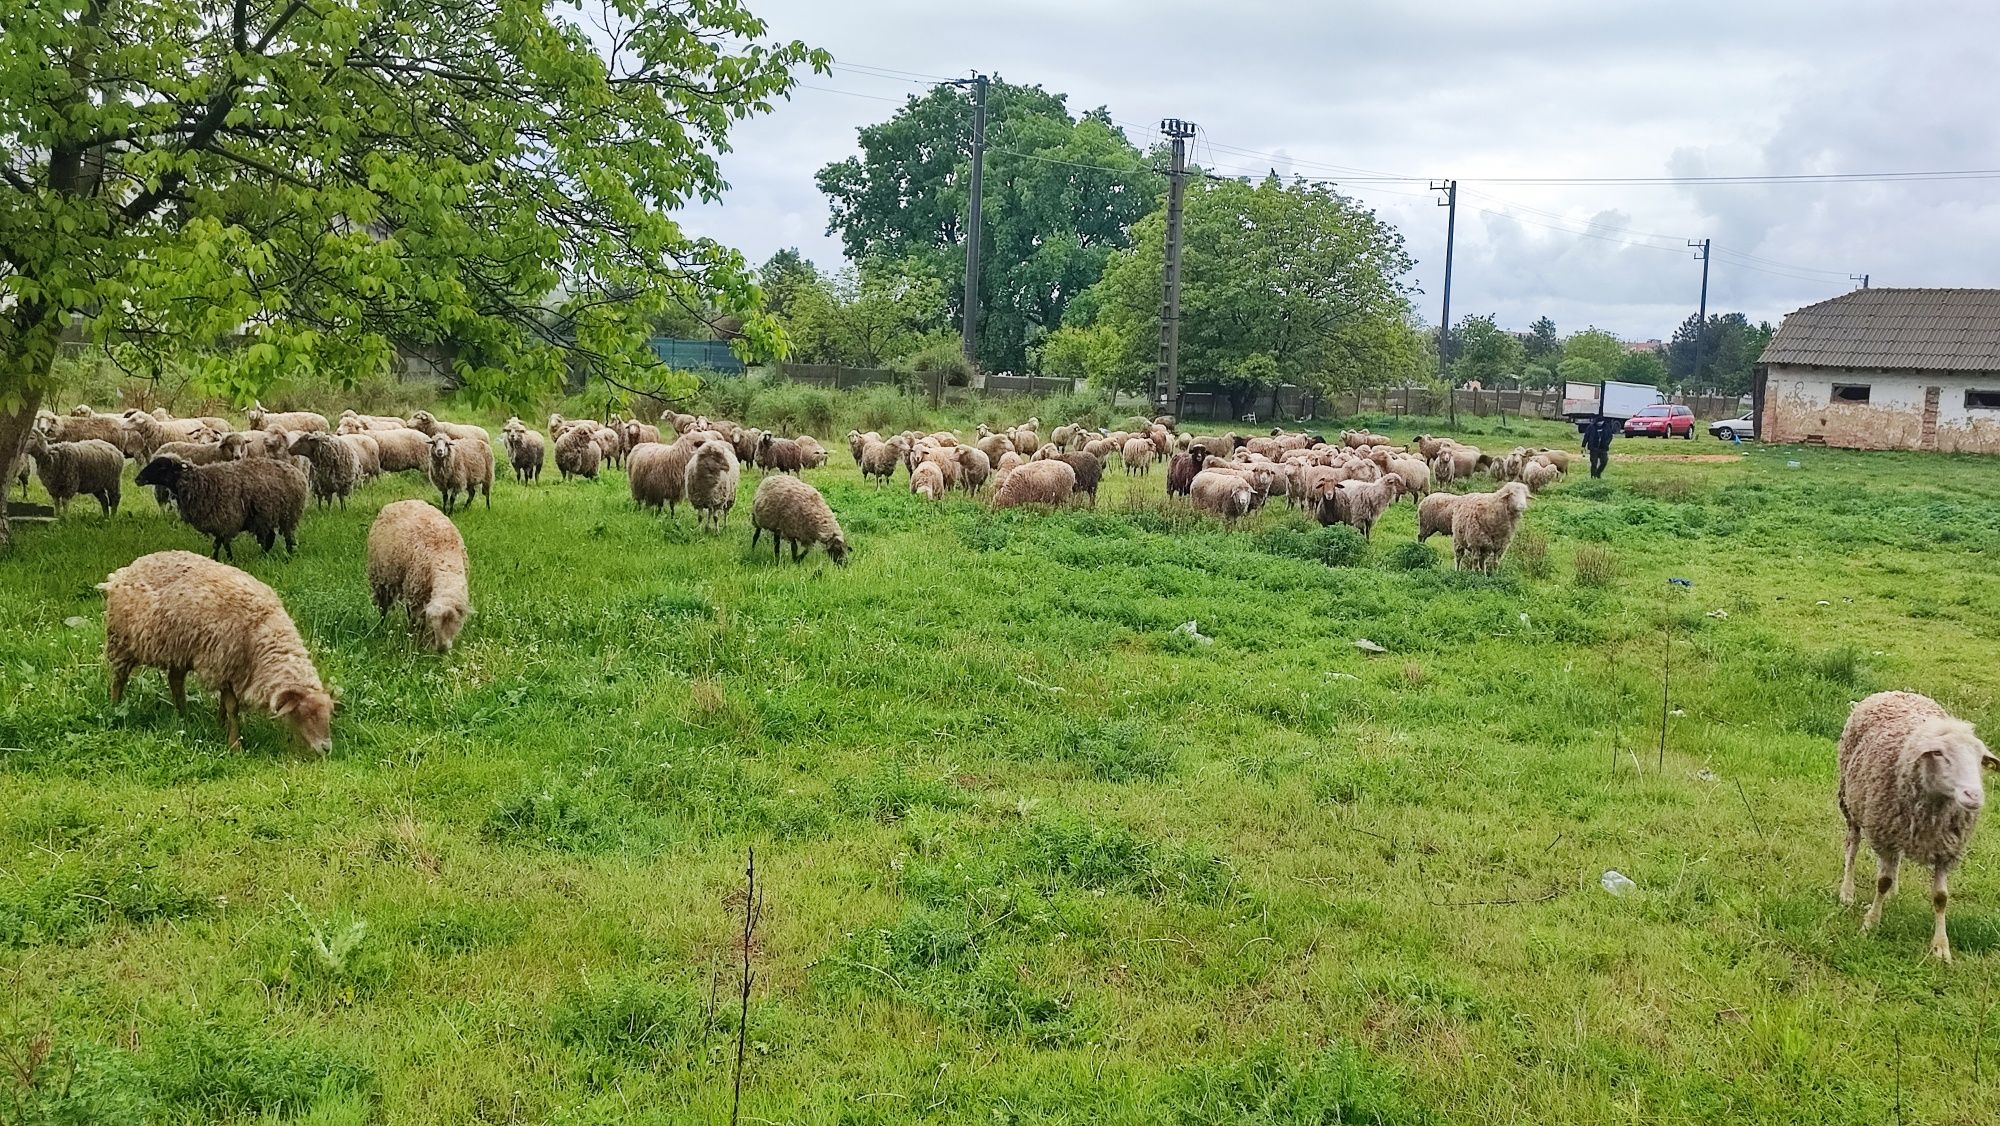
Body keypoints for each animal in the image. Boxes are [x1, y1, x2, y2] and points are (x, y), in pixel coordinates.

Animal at [96, 552, 332, 752]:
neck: (262, 629)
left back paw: (184, 716)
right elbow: (232, 706)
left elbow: (224, 704)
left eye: (329, 716)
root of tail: (126, 570)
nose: (327, 749)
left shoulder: (231, 668)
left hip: (179, 648)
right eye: (305, 714)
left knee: (175, 680)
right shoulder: (220, 663)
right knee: (119, 678)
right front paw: (234, 744)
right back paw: (115, 707)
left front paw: (220, 724)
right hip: (121, 641)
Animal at [135, 456, 310, 560]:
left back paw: (288, 556)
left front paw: (230, 559)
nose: (138, 479)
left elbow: (224, 543)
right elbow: (217, 543)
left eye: (161, 466)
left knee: (287, 537)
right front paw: (215, 558)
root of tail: (298, 473)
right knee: (270, 537)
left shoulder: (226, 519)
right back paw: (263, 556)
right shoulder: (218, 522)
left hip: (288, 514)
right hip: (266, 516)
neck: (199, 483)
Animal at [370, 500, 474, 652]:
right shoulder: (419, 598)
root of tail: (400, 502)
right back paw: (381, 627)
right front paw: (419, 645)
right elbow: (419, 624)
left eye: (456, 622)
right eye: (435, 622)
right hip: (381, 578)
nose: (442, 649)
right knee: (383, 607)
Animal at [1832, 692, 1992, 964]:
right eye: (1939, 754)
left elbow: (1941, 897)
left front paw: (1941, 946)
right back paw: (1847, 891)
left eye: (1980, 760)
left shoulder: (1946, 849)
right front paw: (1870, 924)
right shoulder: (1885, 834)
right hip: (1852, 803)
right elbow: (1882, 881)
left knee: (1893, 861)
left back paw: (1893, 891)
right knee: (1852, 847)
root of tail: (1897, 691)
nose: (1974, 795)